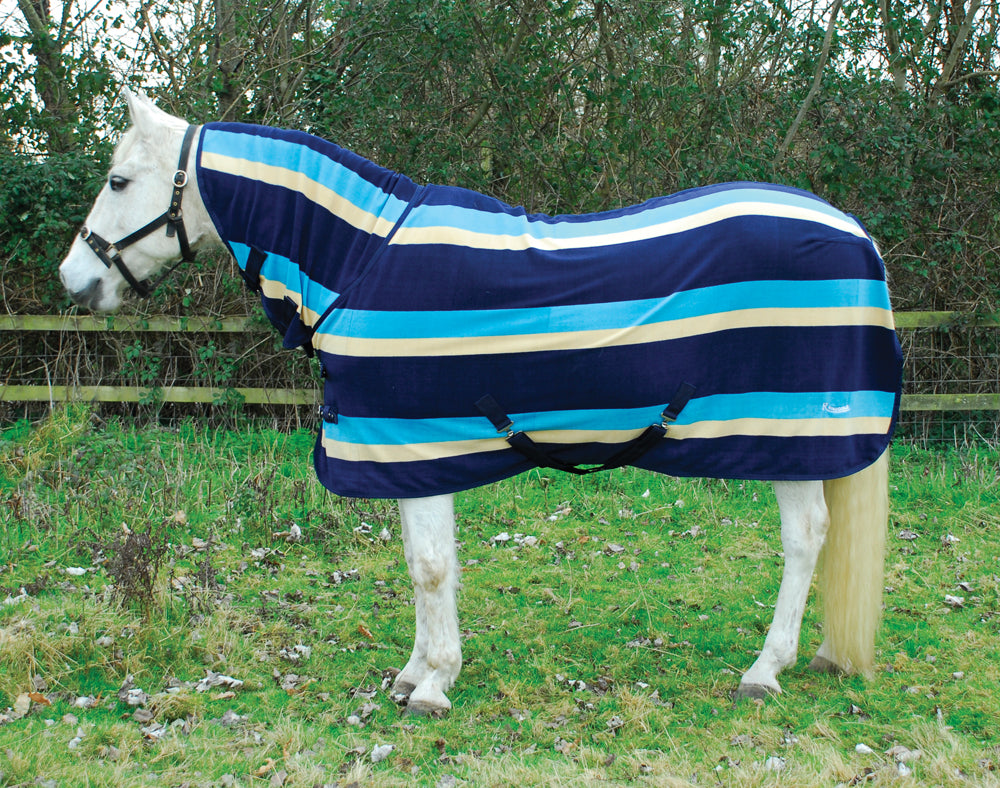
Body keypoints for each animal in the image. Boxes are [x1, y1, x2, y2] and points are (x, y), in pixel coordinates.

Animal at [59, 89, 901, 716]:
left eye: (119, 181)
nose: (74, 281)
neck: (360, 258)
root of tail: (854, 231)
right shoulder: (411, 455)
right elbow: (424, 566)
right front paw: (414, 670)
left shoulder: (413, 442)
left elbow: (431, 567)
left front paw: (433, 682)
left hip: (788, 433)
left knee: (805, 538)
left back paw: (765, 669)